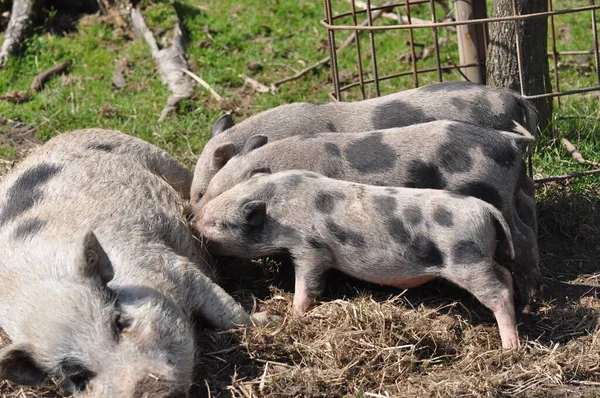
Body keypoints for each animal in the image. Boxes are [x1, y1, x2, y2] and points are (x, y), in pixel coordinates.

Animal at [0, 129, 272, 396]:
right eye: (77, 375)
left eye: (119, 322)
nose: (151, 391)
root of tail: (59, 137)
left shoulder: (170, 264)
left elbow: (228, 312)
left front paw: (266, 321)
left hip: (163, 160)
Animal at [196, 170, 520, 348]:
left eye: (219, 223)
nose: (194, 222)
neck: (279, 208)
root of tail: (485, 209)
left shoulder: (310, 248)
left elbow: (307, 283)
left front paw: (294, 315)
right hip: (481, 257)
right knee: (506, 275)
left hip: (465, 259)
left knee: (499, 293)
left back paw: (510, 348)